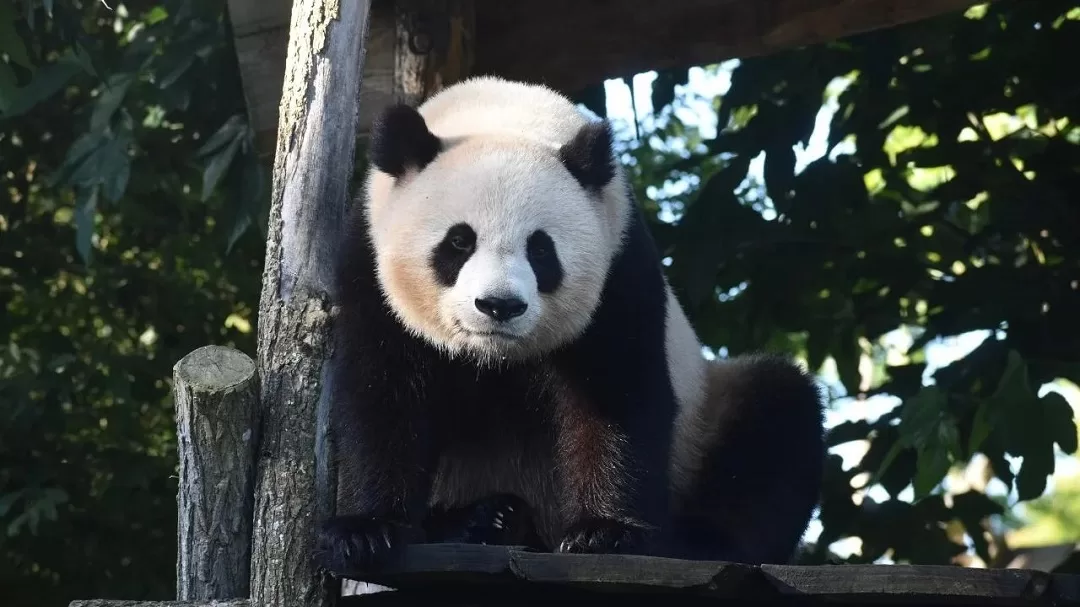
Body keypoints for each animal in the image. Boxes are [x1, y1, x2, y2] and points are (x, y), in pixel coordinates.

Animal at [316, 76, 825, 572]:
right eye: (459, 242)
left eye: (541, 250)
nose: (499, 305)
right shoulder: (368, 266)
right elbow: (383, 393)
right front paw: (367, 531)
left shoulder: (619, 265)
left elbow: (617, 393)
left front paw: (605, 532)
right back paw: (480, 520)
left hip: (706, 421)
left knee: (776, 419)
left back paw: (695, 541)